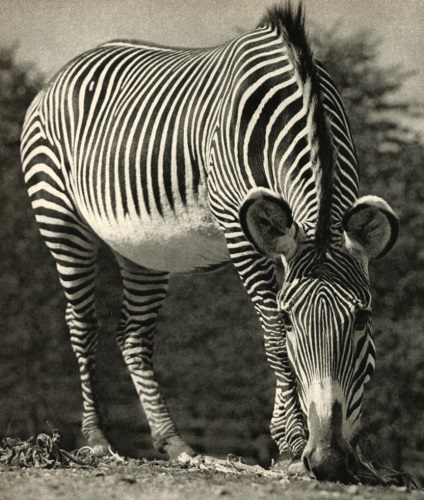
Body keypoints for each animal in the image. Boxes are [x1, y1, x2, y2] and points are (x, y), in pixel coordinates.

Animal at [19, 2, 398, 480]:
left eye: (364, 317)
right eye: (291, 320)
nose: (328, 460)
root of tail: (65, 69)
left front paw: (331, 450)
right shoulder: (241, 232)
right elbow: (271, 335)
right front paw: (291, 444)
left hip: (145, 249)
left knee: (133, 336)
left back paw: (176, 445)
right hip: (58, 214)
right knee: (82, 323)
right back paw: (97, 440)